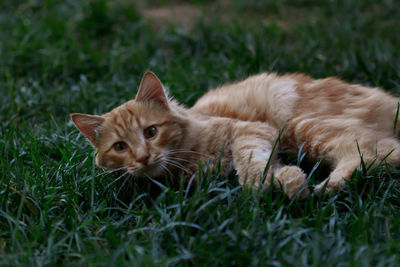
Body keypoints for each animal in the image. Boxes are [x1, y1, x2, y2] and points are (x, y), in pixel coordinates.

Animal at [71, 71, 400, 199]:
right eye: (120, 146)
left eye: (151, 132)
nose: (142, 157)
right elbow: (271, 167)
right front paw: (288, 181)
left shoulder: (250, 130)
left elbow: (248, 161)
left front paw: (259, 184)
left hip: (301, 126)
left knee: (376, 153)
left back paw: (328, 186)